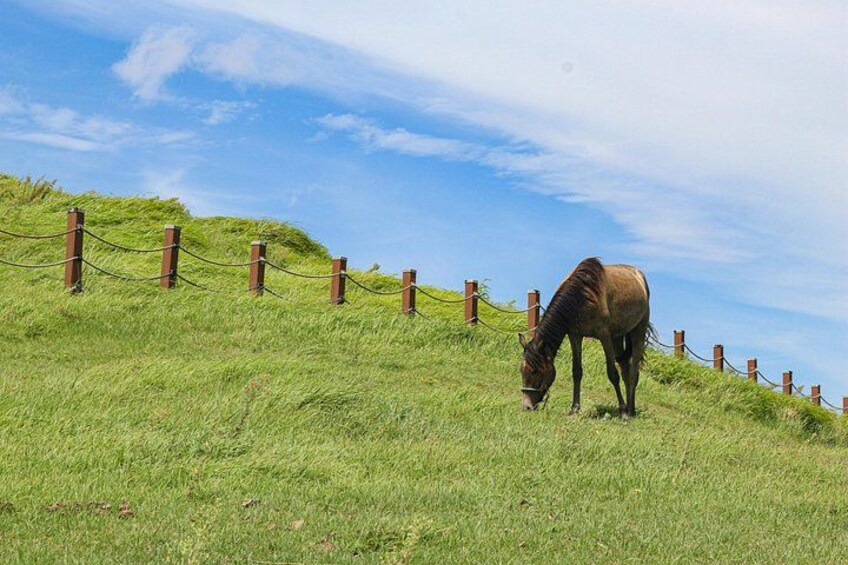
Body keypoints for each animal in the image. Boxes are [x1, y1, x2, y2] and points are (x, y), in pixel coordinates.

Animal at [518, 257, 651, 419]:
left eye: (535, 371)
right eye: (521, 370)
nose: (526, 406)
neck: (582, 295)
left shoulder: (604, 335)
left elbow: (612, 374)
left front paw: (623, 412)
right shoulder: (575, 335)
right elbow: (577, 371)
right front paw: (574, 408)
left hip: (638, 331)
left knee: (633, 372)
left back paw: (630, 410)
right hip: (617, 337)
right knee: (625, 368)